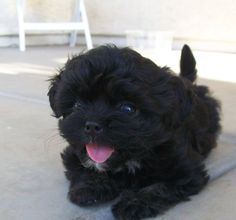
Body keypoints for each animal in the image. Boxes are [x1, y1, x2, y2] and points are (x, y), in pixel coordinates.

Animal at [48, 45, 221, 220]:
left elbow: (159, 187)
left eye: (127, 109)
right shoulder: (73, 154)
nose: (92, 125)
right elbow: (83, 168)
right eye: (77, 105)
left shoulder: (186, 170)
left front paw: (134, 203)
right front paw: (89, 188)